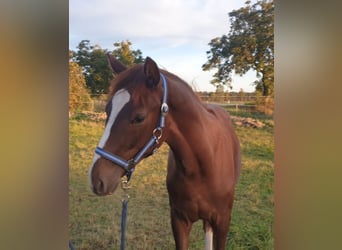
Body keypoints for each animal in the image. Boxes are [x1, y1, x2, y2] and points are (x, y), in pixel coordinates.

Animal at [89, 55, 242, 249]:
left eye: (139, 118)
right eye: (107, 111)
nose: (96, 180)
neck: (202, 167)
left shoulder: (223, 222)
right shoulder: (179, 220)